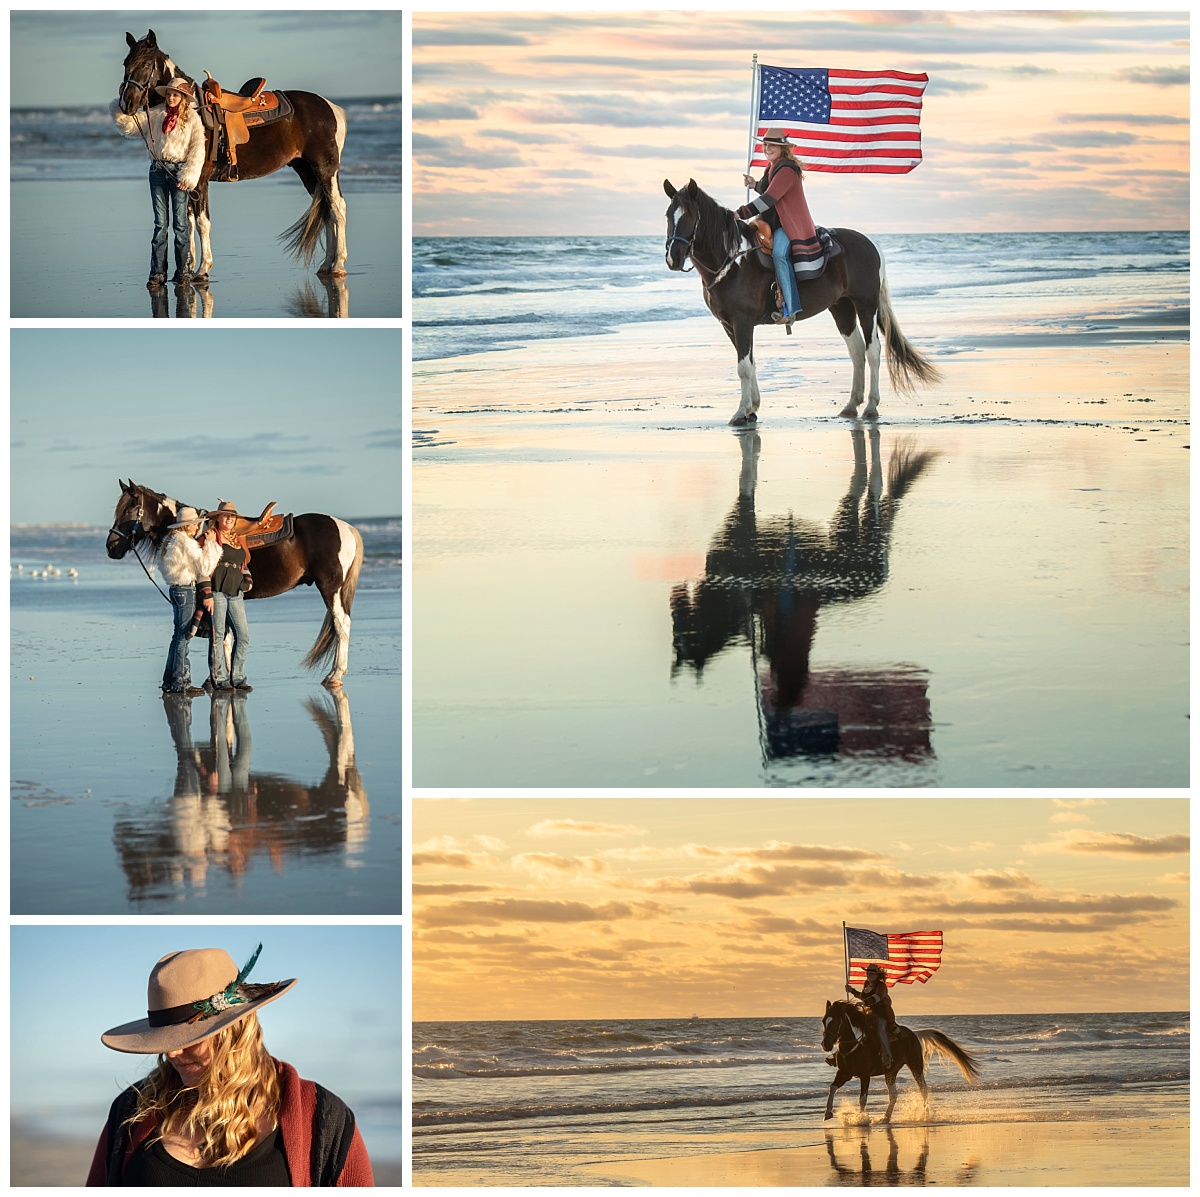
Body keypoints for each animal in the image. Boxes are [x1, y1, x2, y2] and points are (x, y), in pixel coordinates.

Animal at [107, 474, 360, 686]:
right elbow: (225, 637)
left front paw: (220, 679)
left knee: (342, 624)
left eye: (129, 510)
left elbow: (221, 637)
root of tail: (346, 528)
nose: (111, 547)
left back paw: (335, 675)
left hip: (330, 588)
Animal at [117, 31, 350, 279]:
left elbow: (202, 222)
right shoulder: (186, 181)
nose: (126, 103)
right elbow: (188, 222)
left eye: (146, 64)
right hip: (306, 171)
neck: (191, 109)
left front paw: (203, 268)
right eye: (125, 63)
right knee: (327, 211)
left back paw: (338, 265)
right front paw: (188, 267)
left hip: (325, 169)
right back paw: (326, 264)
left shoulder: (200, 181)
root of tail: (332, 108)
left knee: (337, 208)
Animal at [667, 175, 936, 424]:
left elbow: (743, 367)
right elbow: (750, 363)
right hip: (842, 308)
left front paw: (741, 412)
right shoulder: (729, 325)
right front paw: (753, 408)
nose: (673, 258)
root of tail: (871, 244)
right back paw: (851, 405)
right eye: (668, 216)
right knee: (857, 351)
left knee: (873, 351)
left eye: (689, 216)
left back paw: (870, 406)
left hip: (866, 305)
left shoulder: (742, 322)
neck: (734, 261)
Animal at [820, 1002, 979, 1122]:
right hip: (891, 1072)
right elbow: (832, 1088)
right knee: (893, 1095)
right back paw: (886, 1117)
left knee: (923, 1090)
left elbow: (862, 1099)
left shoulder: (865, 1076)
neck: (854, 1046)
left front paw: (861, 1119)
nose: (825, 1045)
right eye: (824, 1021)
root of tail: (915, 1034)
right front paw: (828, 1113)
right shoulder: (844, 1073)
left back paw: (925, 1116)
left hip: (916, 1067)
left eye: (835, 1021)